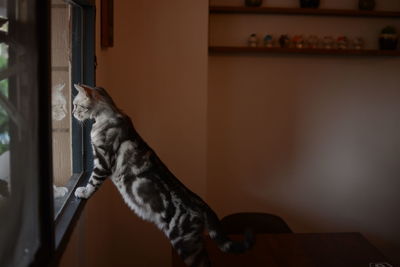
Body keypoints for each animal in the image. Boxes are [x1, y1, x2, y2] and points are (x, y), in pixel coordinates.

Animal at [72, 84, 253, 267]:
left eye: (76, 105)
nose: (72, 112)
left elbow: (93, 181)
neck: (106, 116)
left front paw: (83, 192)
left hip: (185, 243)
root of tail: (199, 201)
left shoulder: (102, 161)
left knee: (203, 263)